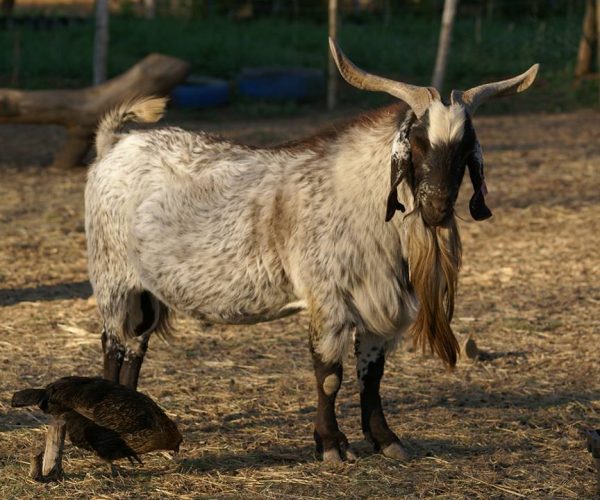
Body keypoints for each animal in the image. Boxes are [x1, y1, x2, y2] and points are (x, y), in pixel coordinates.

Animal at [84, 40, 540, 464]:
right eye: (418, 143)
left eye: (465, 148)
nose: (437, 207)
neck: (356, 192)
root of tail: (115, 145)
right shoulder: (328, 300)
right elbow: (329, 376)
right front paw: (331, 445)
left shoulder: (379, 307)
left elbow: (372, 375)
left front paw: (385, 439)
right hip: (113, 277)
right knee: (113, 345)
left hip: (147, 290)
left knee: (135, 348)